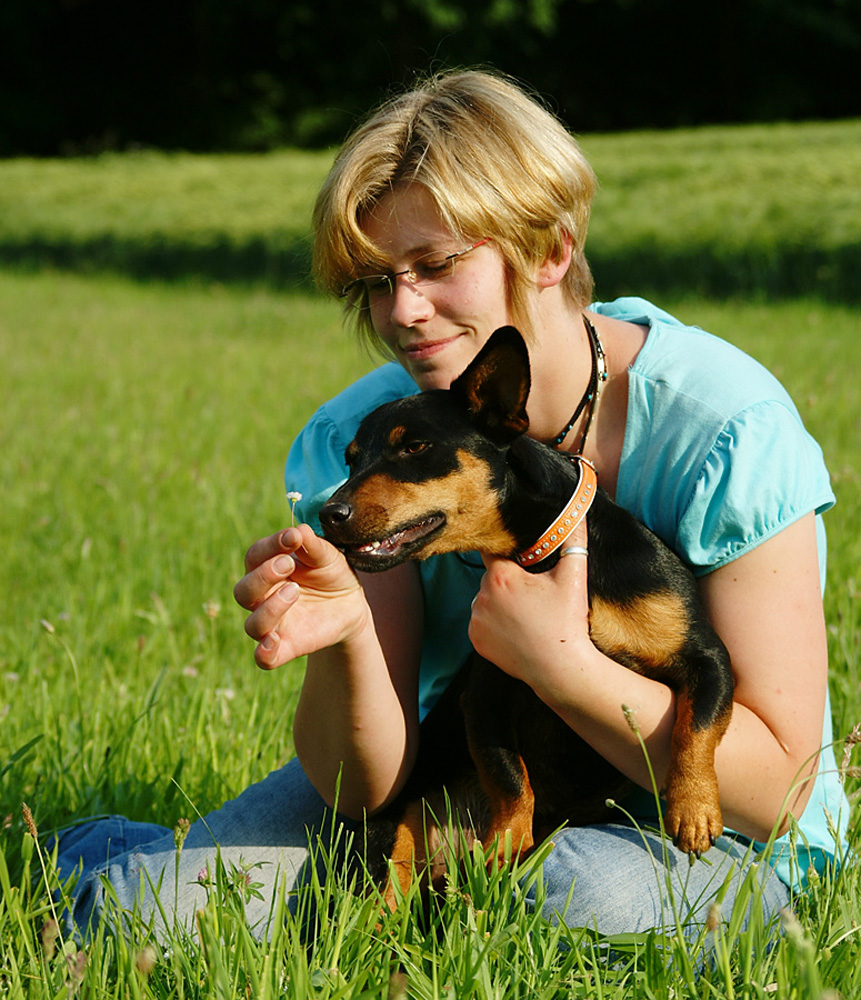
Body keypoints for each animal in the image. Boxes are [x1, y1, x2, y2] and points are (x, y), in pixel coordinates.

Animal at [320, 326, 736, 908]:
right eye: (351, 460)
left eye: (415, 447)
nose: (326, 514)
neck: (552, 554)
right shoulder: (486, 694)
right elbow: (510, 776)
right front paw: (506, 839)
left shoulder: (708, 659)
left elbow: (696, 727)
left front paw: (693, 808)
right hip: (385, 851)